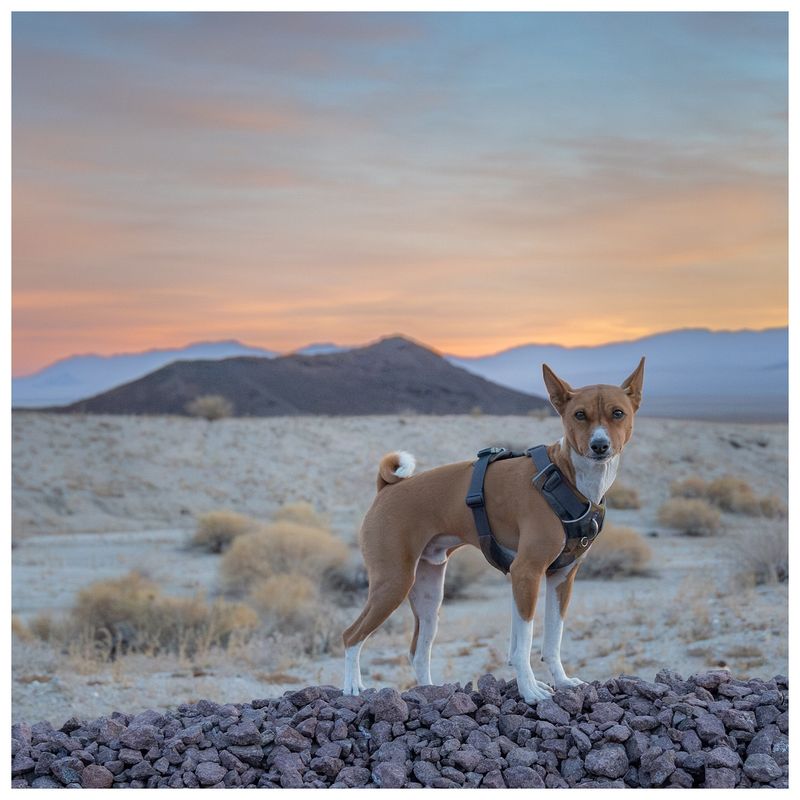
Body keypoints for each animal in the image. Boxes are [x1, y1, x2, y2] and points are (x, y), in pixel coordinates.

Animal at [342, 360, 644, 704]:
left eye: (617, 413)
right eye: (580, 415)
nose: (599, 445)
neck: (566, 477)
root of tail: (387, 489)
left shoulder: (559, 578)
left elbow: (550, 641)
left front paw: (562, 682)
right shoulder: (527, 571)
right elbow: (524, 645)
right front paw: (529, 690)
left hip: (430, 595)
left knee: (417, 651)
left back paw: (430, 692)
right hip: (393, 583)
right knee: (351, 636)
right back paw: (353, 687)